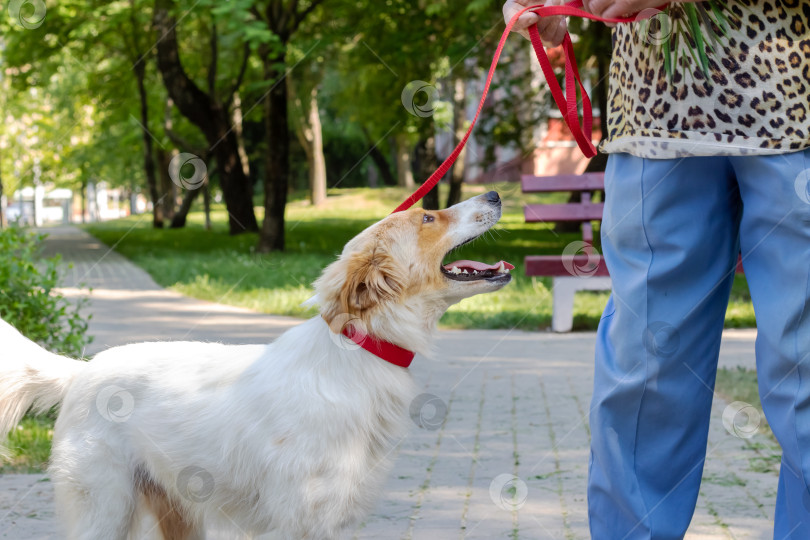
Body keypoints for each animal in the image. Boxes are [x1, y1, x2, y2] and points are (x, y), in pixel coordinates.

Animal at [1, 192, 512, 536]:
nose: (494, 194)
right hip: (104, 511)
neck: (357, 351)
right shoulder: (297, 520)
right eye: (428, 216)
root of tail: (81, 370)